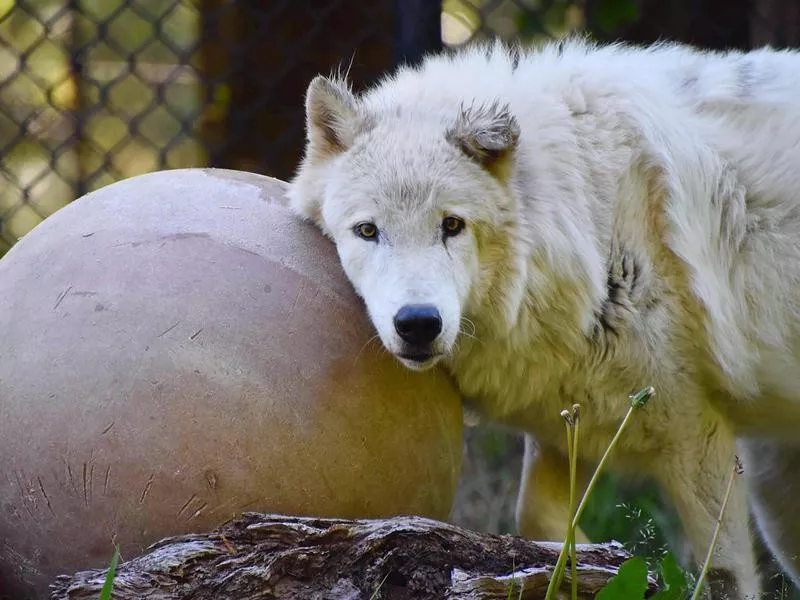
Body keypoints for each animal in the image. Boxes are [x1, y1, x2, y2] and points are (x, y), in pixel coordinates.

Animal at [286, 39, 800, 596]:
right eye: (367, 230)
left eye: (452, 225)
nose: (419, 323)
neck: (590, 218)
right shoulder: (564, 421)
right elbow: (536, 521)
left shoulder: (696, 435)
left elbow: (722, 575)